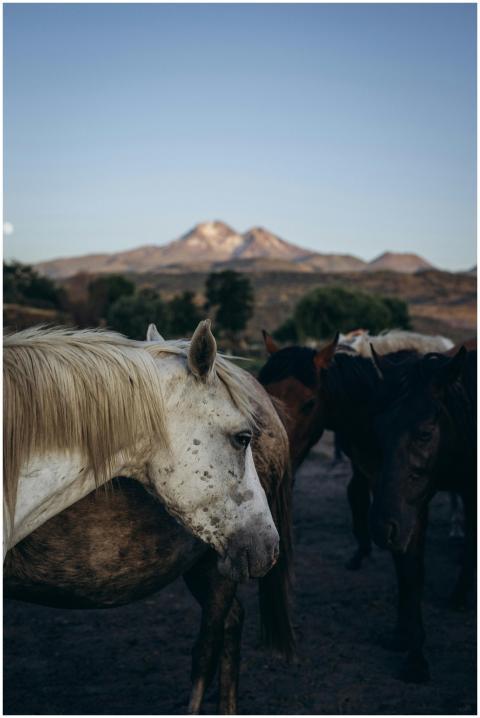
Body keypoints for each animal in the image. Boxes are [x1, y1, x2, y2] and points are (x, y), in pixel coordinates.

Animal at [258, 328, 458, 682]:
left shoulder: (411, 500)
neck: (373, 405)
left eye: (309, 403)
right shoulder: (381, 491)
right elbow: (396, 556)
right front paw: (401, 633)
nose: (272, 465)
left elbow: (411, 567)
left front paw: (415, 652)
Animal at [369, 343, 476, 681]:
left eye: (426, 433)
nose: (381, 528)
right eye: (379, 429)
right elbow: (412, 572)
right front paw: (412, 650)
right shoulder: (412, 508)